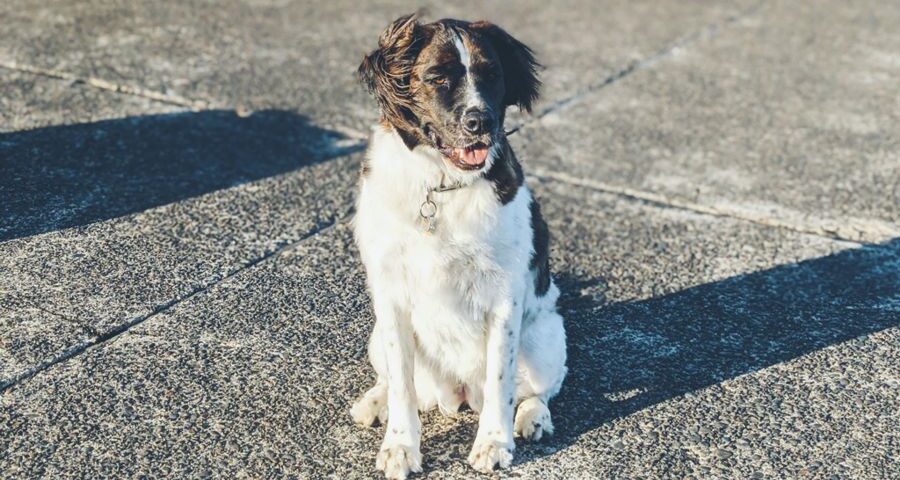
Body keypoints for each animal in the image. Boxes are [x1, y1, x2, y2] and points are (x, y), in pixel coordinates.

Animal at [348, 13, 568, 478]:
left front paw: (494, 442)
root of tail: (459, 393)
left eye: (492, 75)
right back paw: (373, 401)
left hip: (544, 339)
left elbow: (501, 380)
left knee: (538, 390)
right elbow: (402, 385)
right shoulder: (390, 295)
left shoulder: (505, 297)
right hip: (376, 336)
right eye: (438, 78)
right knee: (392, 379)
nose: (479, 121)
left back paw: (533, 418)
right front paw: (400, 445)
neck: (442, 185)